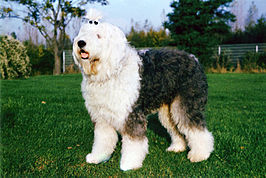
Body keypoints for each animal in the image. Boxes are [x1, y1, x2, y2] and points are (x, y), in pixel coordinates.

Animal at [72, 9, 214, 170]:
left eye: (98, 35)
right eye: (83, 33)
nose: (80, 43)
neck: (111, 71)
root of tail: (194, 59)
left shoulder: (131, 114)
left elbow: (133, 142)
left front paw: (129, 164)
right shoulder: (102, 116)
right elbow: (102, 139)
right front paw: (98, 157)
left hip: (186, 104)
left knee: (197, 129)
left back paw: (200, 155)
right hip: (168, 110)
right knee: (176, 128)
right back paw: (177, 147)